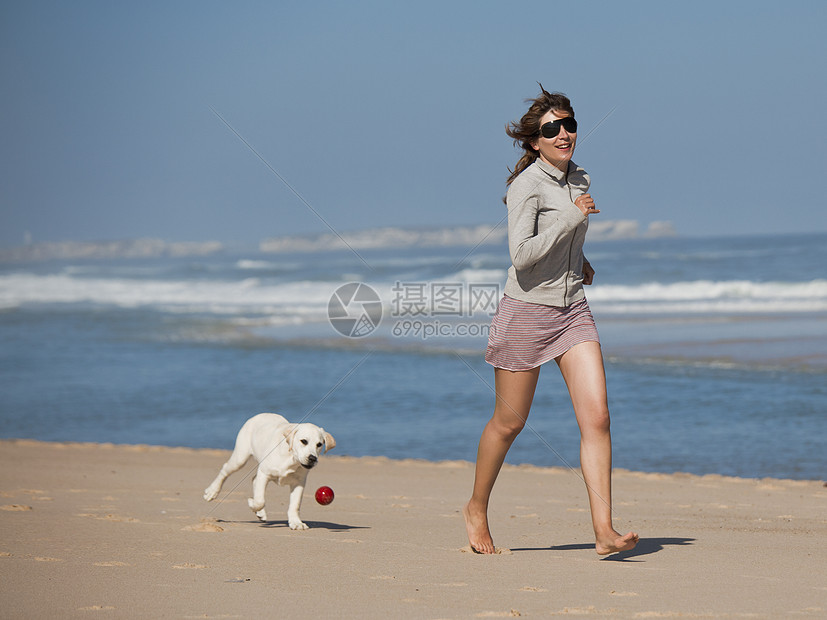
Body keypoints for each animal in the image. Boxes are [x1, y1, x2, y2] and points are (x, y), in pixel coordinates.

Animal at [205, 414, 336, 532]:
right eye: (304, 441)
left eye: (319, 444)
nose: (313, 458)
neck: (291, 458)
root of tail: (260, 414)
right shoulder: (264, 474)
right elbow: (259, 500)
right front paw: (252, 503)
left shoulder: (299, 482)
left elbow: (295, 505)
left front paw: (296, 522)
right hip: (240, 457)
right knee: (225, 470)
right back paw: (212, 492)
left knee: (254, 479)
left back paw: (260, 513)